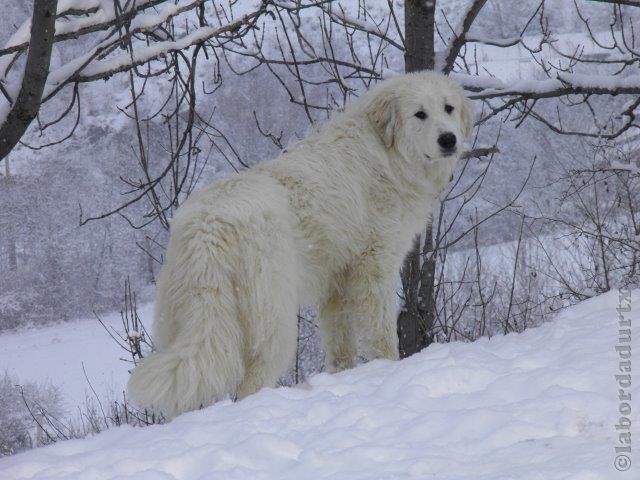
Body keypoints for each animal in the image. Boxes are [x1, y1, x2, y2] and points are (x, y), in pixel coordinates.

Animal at [126, 70, 476, 416]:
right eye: (420, 114)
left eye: (448, 108)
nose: (449, 139)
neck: (389, 156)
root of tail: (208, 227)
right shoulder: (373, 269)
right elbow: (382, 336)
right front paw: (388, 369)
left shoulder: (336, 286)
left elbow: (341, 349)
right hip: (274, 323)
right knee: (252, 382)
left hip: (188, 322)